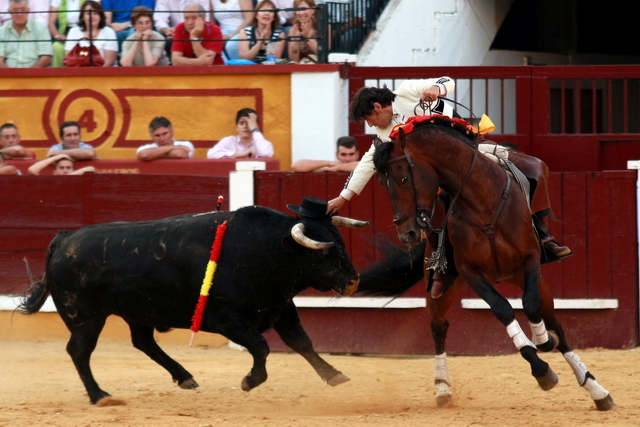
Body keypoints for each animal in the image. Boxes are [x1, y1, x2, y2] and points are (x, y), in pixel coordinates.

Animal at [20, 206, 368, 406]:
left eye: (340, 241)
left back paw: (185, 377)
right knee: (79, 351)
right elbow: (261, 346)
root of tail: (65, 239)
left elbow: (302, 343)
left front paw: (335, 376)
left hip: (138, 312)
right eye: (323, 252)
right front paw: (250, 381)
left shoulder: (281, 308)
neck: (265, 249)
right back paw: (100, 396)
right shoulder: (227, 318)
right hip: (85, 315)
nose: (353, 281)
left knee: (143, 342)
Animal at [360, 113, 616, 412]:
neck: (482, 202)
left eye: (402, 178)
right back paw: (442, 387)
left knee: (557, 326)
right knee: (439, 327)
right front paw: (541, 369)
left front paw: (542, 341)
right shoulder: (472, 273)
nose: (408, 234)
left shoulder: (530, 260)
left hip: (529, 278)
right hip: (444, 286)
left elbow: (531, 305)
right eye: (382, 183)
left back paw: (596, 389)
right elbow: (502, 309)